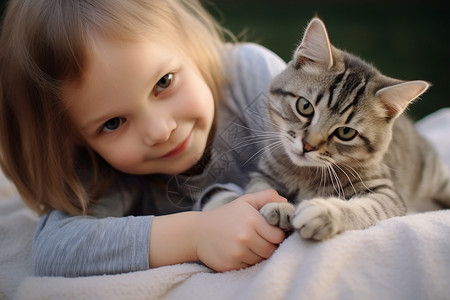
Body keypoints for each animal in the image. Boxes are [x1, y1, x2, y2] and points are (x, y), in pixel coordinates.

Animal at [205, 17, 450, 240]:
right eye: (305, 106)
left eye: (346, 132)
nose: (307, 145)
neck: (306, 174)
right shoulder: (265, 171)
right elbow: (258, 189)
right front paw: (278, 205)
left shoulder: (387, 193)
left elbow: (366, 208)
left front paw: (325, 212)